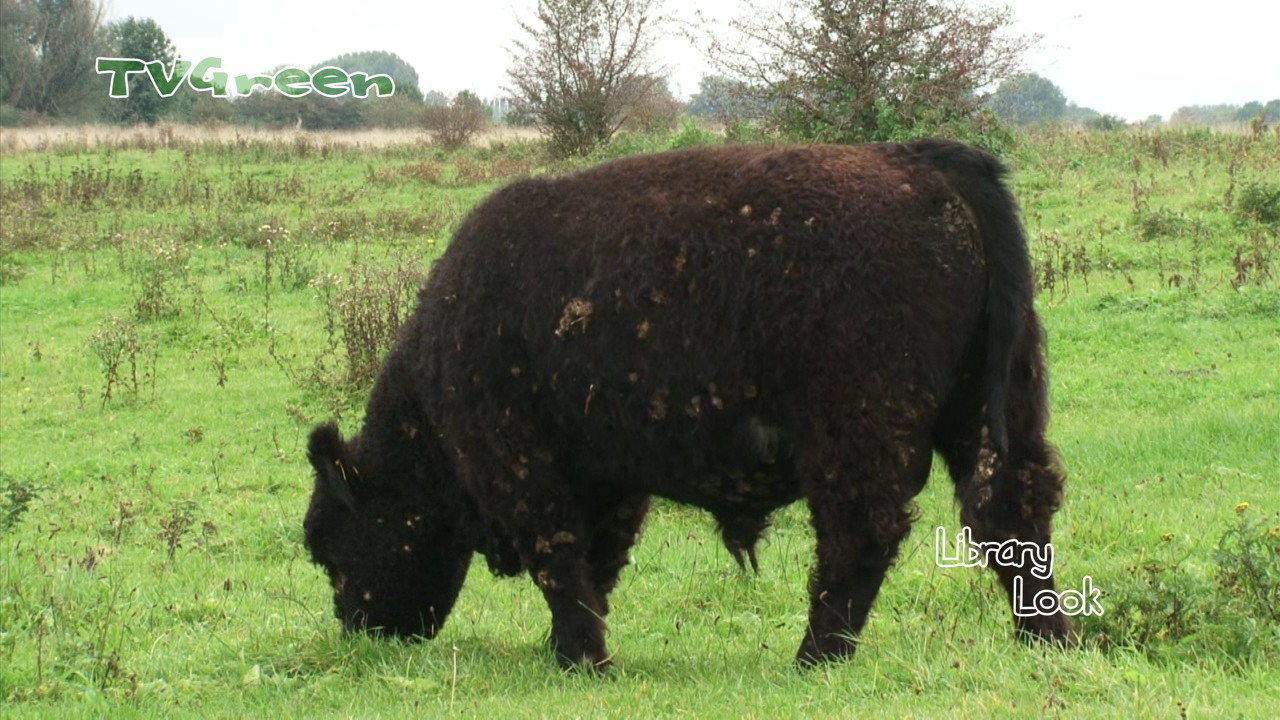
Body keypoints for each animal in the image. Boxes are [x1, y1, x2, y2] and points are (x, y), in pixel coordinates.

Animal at [303, 140, 1071, 670]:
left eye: (328, 546)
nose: (358, 633)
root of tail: (923, 161)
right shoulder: (607, 478)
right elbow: (594, 566)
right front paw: (575, 648)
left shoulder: (519, 466)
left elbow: (560, 560)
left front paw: (581, 658)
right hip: (993, 410)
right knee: (1011, 512)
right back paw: (1050, 640)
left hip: (857, 436)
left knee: (861, 536)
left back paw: (814, 657)